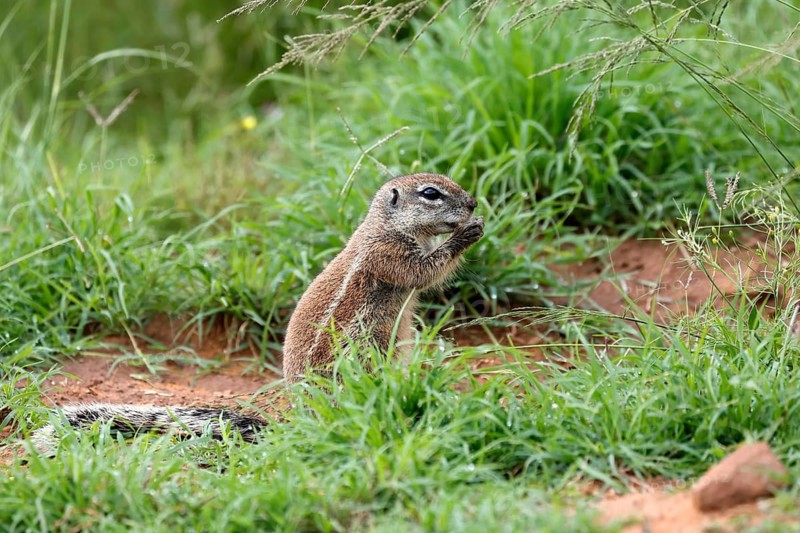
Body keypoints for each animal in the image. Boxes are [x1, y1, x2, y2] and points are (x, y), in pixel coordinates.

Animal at [31, 173, 483, 453]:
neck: (386, 226)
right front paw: (468, 233)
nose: (475, 201)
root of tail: (304, 417)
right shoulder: (388, 255)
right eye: (430, 193)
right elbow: (425, 271)